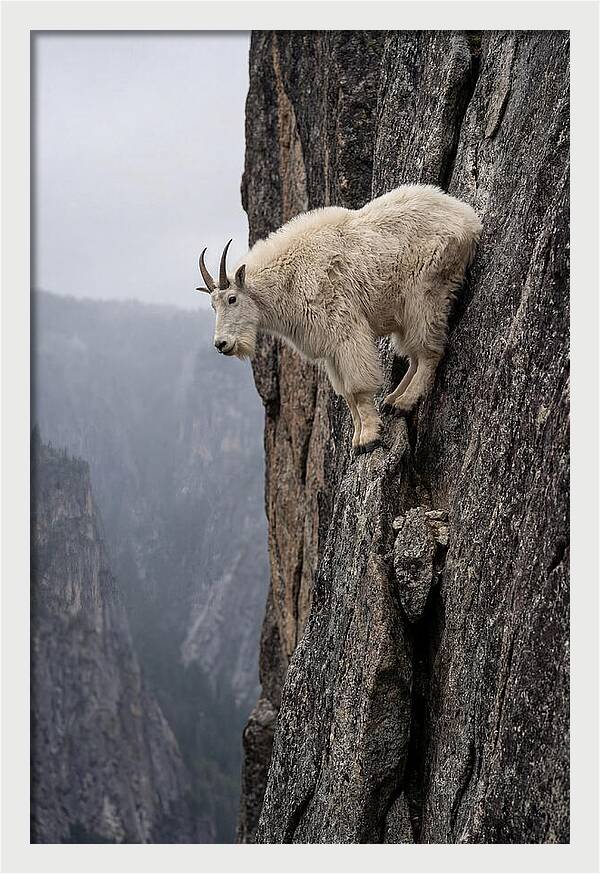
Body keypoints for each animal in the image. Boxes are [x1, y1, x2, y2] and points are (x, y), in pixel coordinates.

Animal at [197, 185, 482, 453]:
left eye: (232, 299)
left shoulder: (345, 331)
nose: (221, 344)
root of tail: (468, 218)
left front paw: (369, 438)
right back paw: (392, 400)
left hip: (425, 293)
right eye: (212, 305)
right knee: (414, 354)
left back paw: (404, 402)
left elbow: (357, 388)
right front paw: (357, 439)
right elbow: (346, 394)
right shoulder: (330, 349)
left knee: (429, 351)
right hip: (405, 311)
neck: (289, 279)